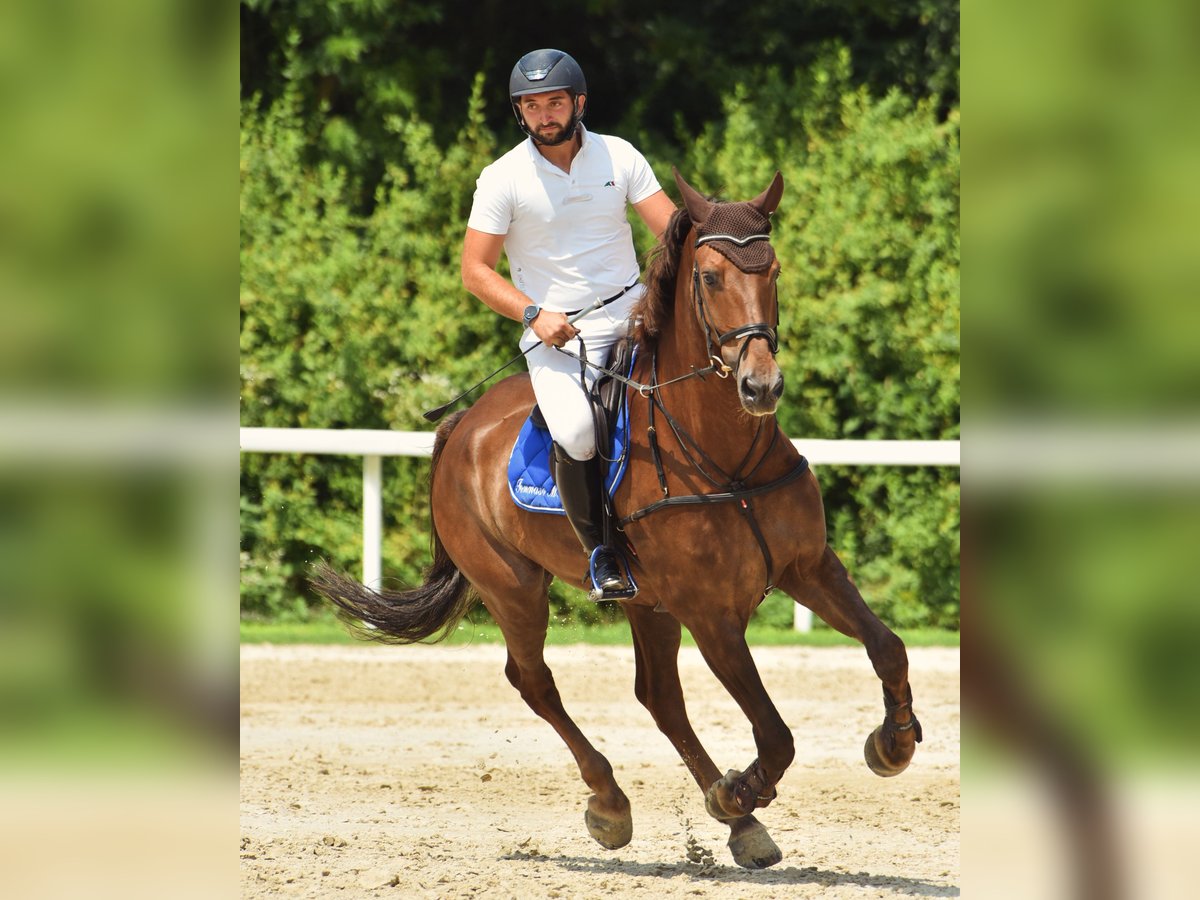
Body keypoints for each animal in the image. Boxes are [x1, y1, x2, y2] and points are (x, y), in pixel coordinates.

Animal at [314, 170, 921, 873]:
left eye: (772, 269)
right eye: (710, 277)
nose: (760, 386)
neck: (727, 457)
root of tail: (462, 424)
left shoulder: (809, 567)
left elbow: (888, 646)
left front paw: (893, 743)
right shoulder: (711, 615)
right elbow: (775, 734)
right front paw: (739, 790)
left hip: (646, 602)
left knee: (659, 697)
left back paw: (737, 823)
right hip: (514, 588)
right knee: (535, 681)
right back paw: (614, 804)